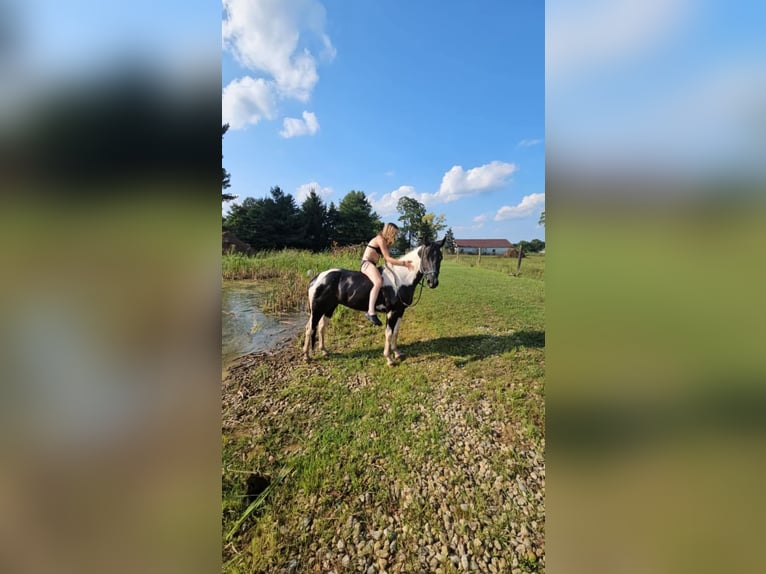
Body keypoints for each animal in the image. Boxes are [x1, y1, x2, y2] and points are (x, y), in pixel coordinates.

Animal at [303, 238, 445, 366]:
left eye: (440, 257)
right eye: (426, 256)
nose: (432, 282)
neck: (401, 280)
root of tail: (317, 278)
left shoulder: (400, 311)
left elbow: (396, 332)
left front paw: (397, 354)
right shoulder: (391, 312)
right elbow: (389, 333)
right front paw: (389, 359)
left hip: (329, 308)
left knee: (321, 326)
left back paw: (324, 351)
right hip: (317, 309)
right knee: (310, 328)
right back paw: (306, 356)